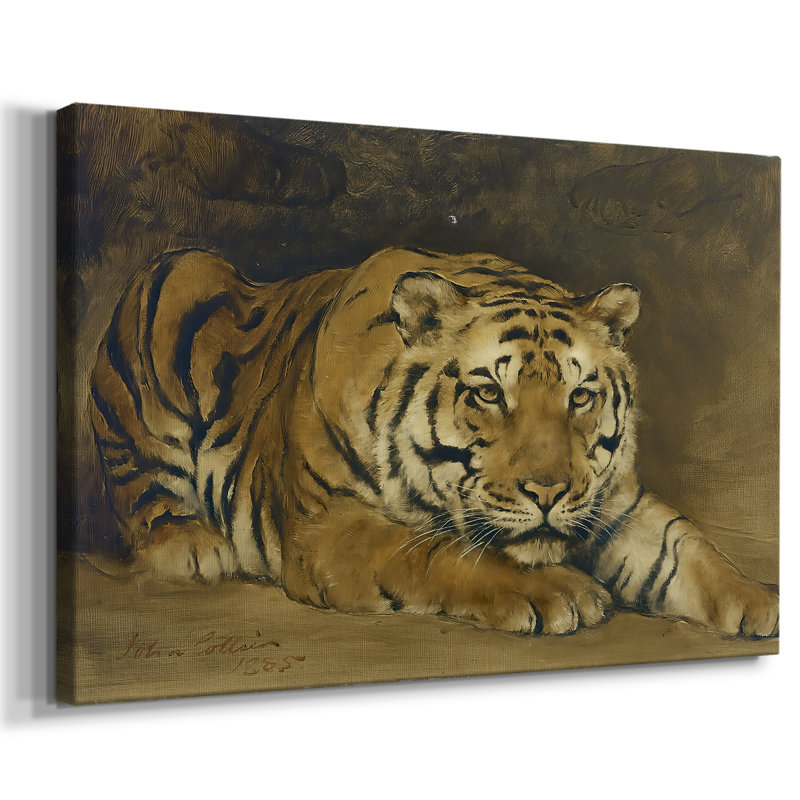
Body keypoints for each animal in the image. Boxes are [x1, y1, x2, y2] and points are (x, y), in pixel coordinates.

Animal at [89, 246, 779, 637]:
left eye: (581, 397)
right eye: (490, 394)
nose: (549, 492)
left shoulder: (613, 503)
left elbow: (688, 551)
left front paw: (760, 602)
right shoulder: (330, 528)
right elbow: (440, 554)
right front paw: (563, 593)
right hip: (174, 289)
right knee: (137, 487)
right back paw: (194, 548)